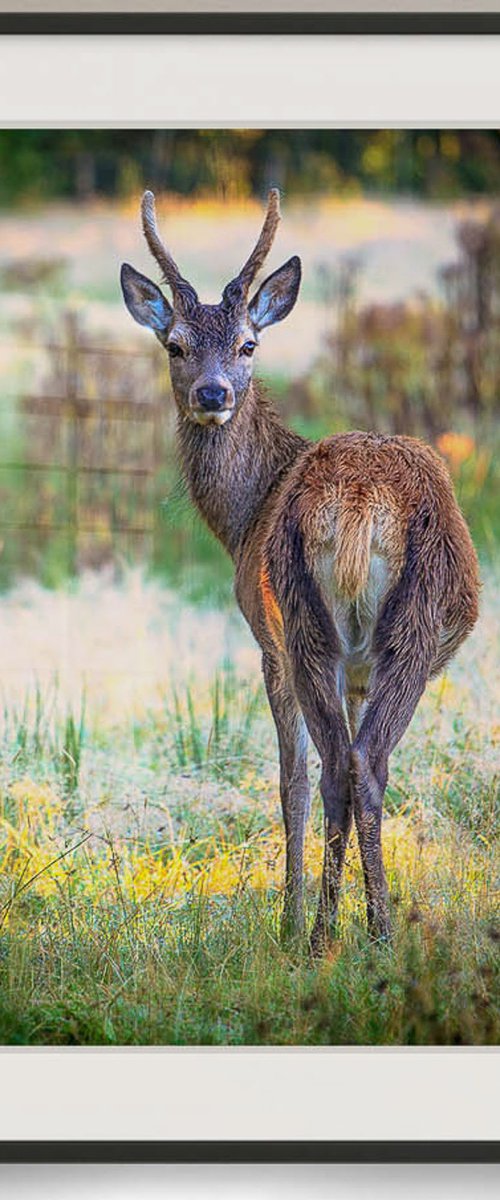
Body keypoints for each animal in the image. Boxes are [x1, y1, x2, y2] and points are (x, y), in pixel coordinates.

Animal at [121, 192, 479, 950]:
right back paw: (369, 931)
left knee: (341, 767)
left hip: (314, 621)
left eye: (248, 345)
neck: (245, 517)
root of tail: (362, 499)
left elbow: (292, 781)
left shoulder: (266, 641)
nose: (212, 393)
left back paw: (319, 936)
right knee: (363, 763)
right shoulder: (355, 672)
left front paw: (286, 915)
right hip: (391, 632)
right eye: (175, 345)